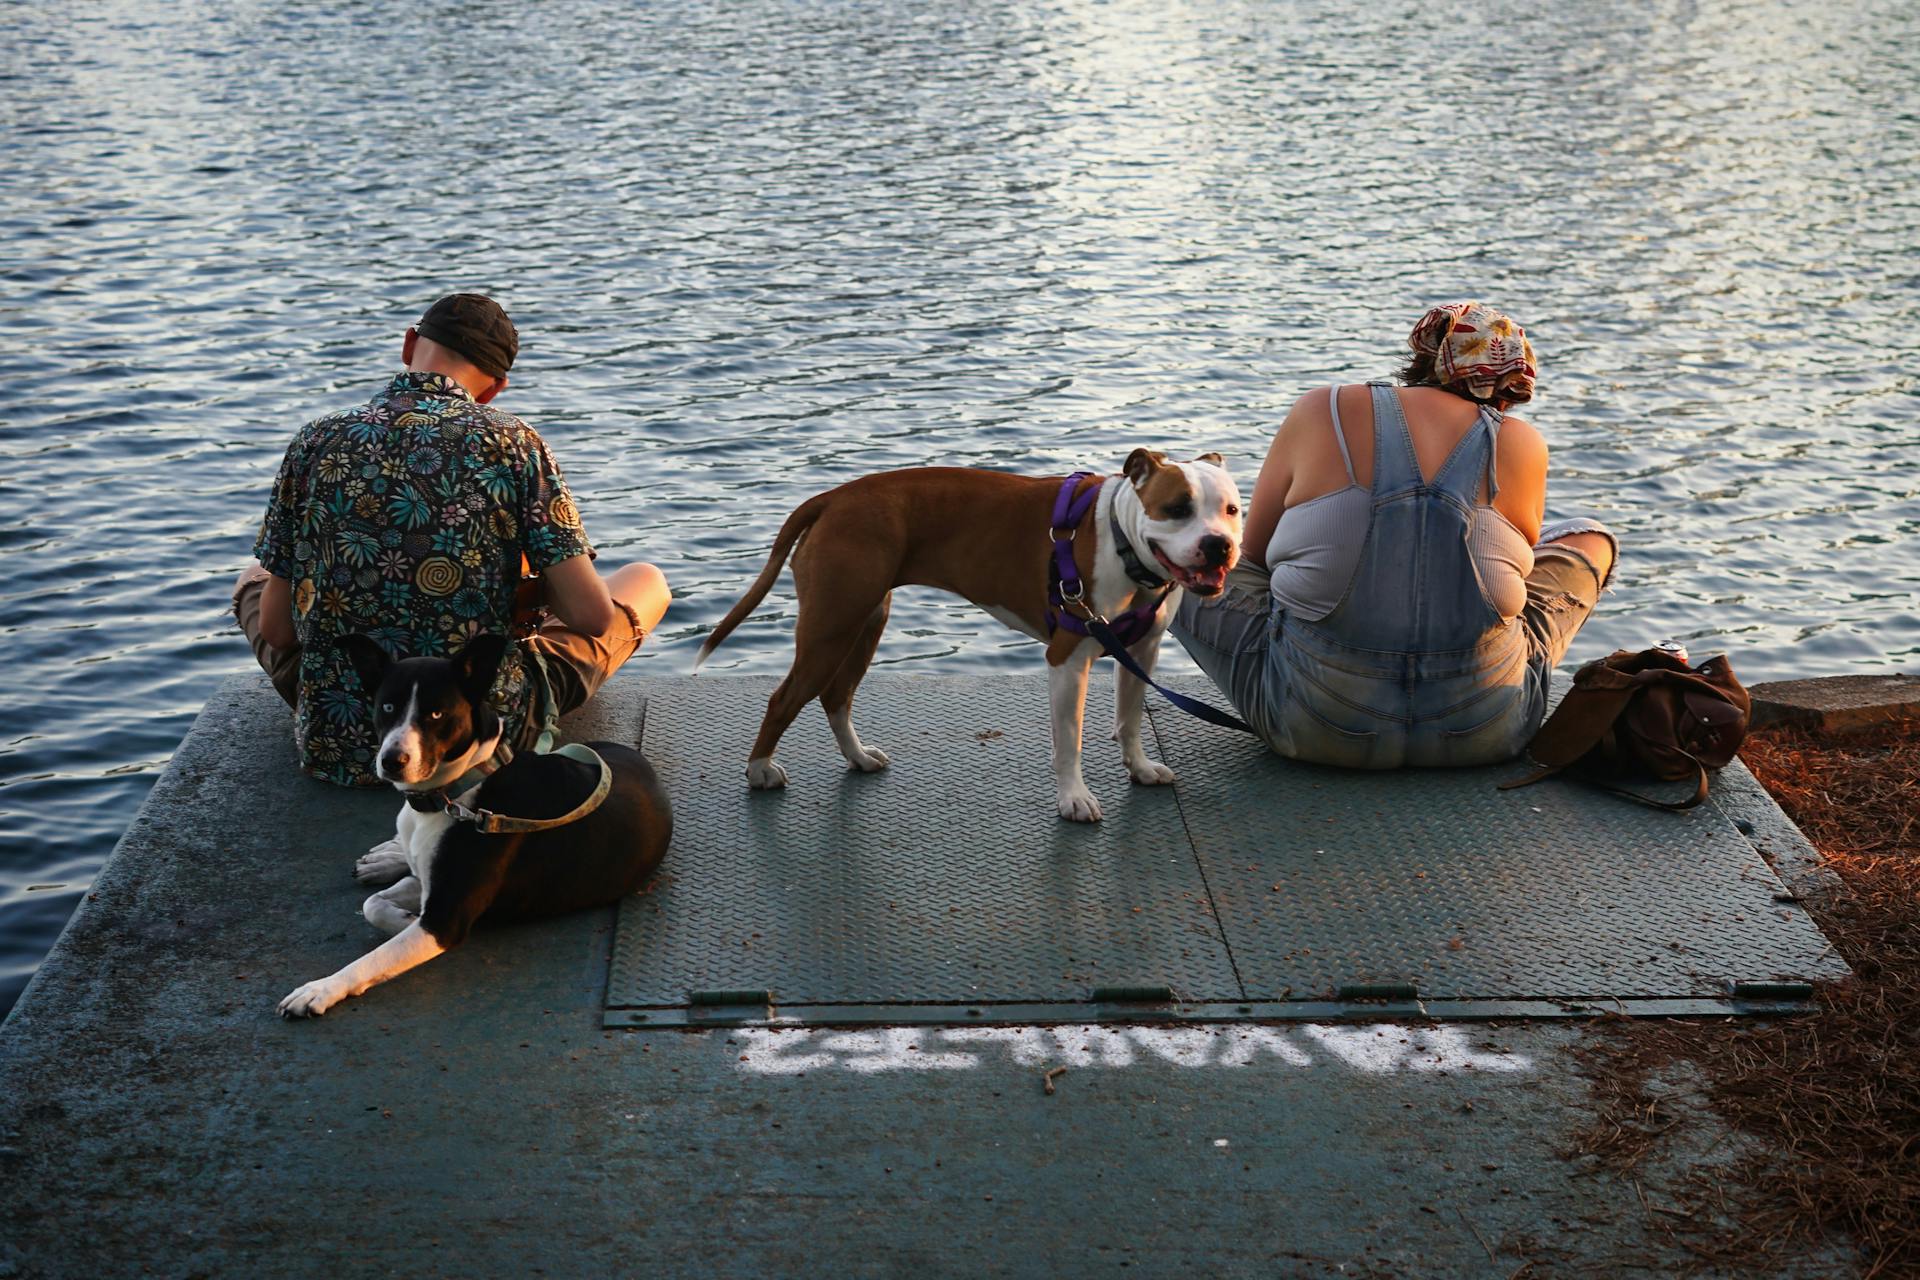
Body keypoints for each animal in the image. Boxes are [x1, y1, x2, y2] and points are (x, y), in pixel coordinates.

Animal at [278, 633, 675, 1020]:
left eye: (436, 713)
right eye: (387, 707)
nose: (392, 761)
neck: (454, 794)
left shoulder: (445, 917)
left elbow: (373, 956)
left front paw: (321, 989)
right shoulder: (428, 884)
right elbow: (373, 904)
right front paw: (401, 911)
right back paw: (386, 857)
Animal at [695, 450, 1244, 825]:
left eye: (1232, 510)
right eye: (1177, 508)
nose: (1219, 545)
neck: (1121, 538)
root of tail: (835, 496)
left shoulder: (1141, 652)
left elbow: (1129, 720)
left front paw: (1141, 768)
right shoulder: (1068, 657)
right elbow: (1070, 739)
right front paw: (1074, 798)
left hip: (864, 622)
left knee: (836, 695)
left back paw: (857, 757)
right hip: (831, 626)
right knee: (784, 699)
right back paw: (760, 770)